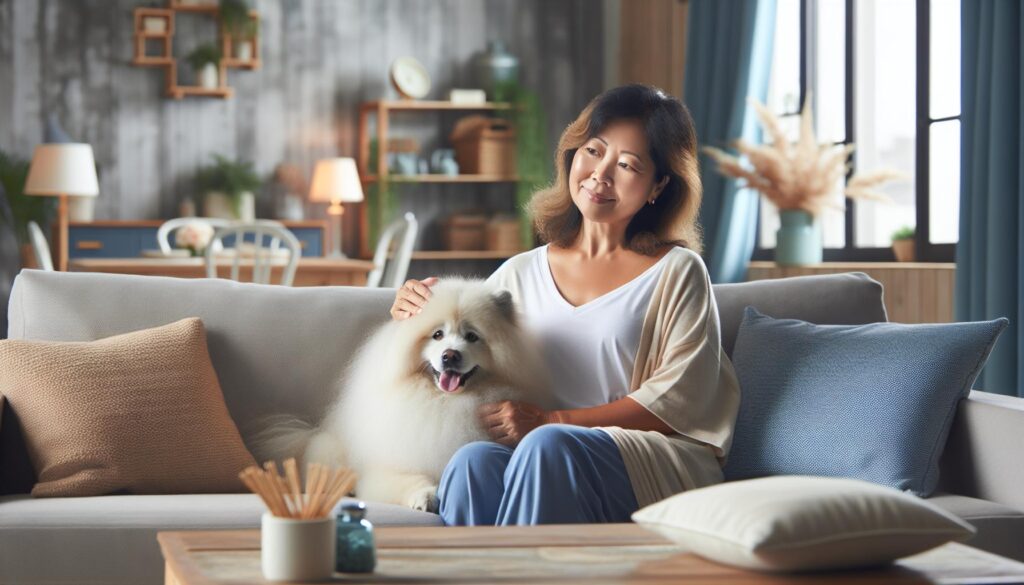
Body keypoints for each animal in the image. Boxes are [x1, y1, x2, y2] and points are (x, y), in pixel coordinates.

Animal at [268, 278, 548, 512]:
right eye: (438, 335)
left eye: (472, 336)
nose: (450, 355)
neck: (446, 403)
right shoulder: (387, 467)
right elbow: (408, 478)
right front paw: (425, 496)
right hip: (330, 450)